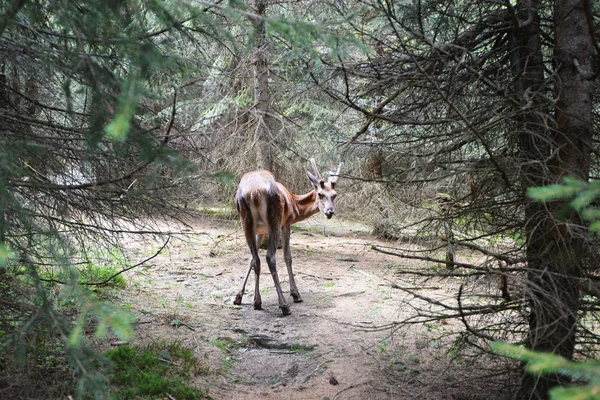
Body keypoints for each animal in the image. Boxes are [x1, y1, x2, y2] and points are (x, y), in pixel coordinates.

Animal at [233, 159, 342, 316]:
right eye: (320, 194)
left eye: (334, 194)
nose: (330, 212)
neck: (294, 205)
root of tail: (254, 193)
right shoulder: (287, 223)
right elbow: (287, 256)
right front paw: (295, 294)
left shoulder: (260, 231)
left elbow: (251, 261)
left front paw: (239, 296)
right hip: (275, 220)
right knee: (270, 257)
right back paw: (284, 305)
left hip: (245, 222)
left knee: (256, 259)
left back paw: (257, 302)